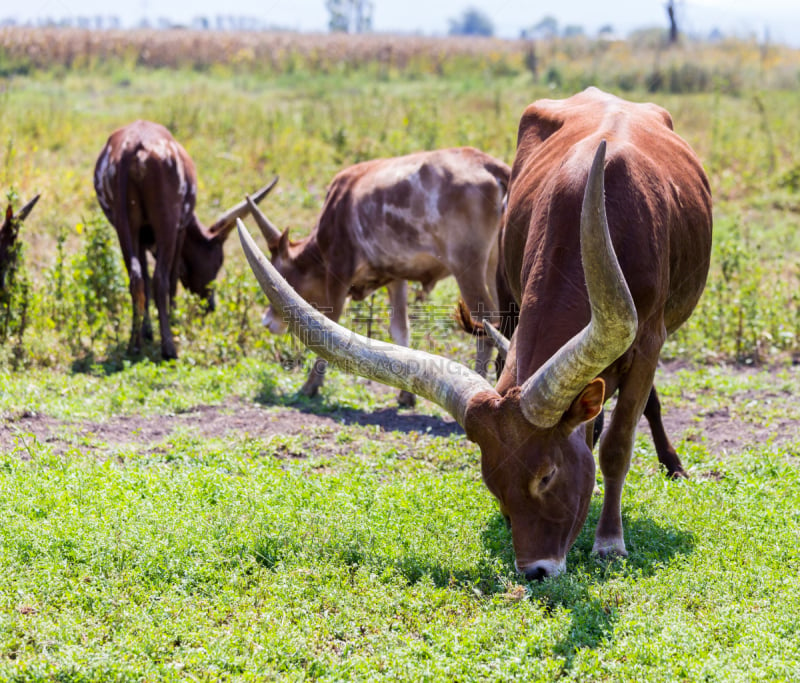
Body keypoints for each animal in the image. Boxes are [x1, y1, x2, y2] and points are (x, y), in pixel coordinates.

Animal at [94, 119, 278, 360]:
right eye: (218, 264)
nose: (210, 306)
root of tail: (136, 149)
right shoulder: (180, 229)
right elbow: (172, 277)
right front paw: (172, 319)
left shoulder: (140, 237)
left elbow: (145, 276)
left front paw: (147, 331)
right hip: (167, 222)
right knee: (161, 278)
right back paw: (169, 347)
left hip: (124, 223)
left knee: (137, 278)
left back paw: (134, 345)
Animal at [247, 148, 510, 406]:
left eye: (280, 272)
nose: (267, 322)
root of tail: (488, 164)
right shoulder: (396, 277)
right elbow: (400, 329)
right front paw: (406, 395)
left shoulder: (338, 272)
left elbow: (329, 325)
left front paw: (310, 385)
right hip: (494, 269)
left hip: (467, 267)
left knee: (486, 323)